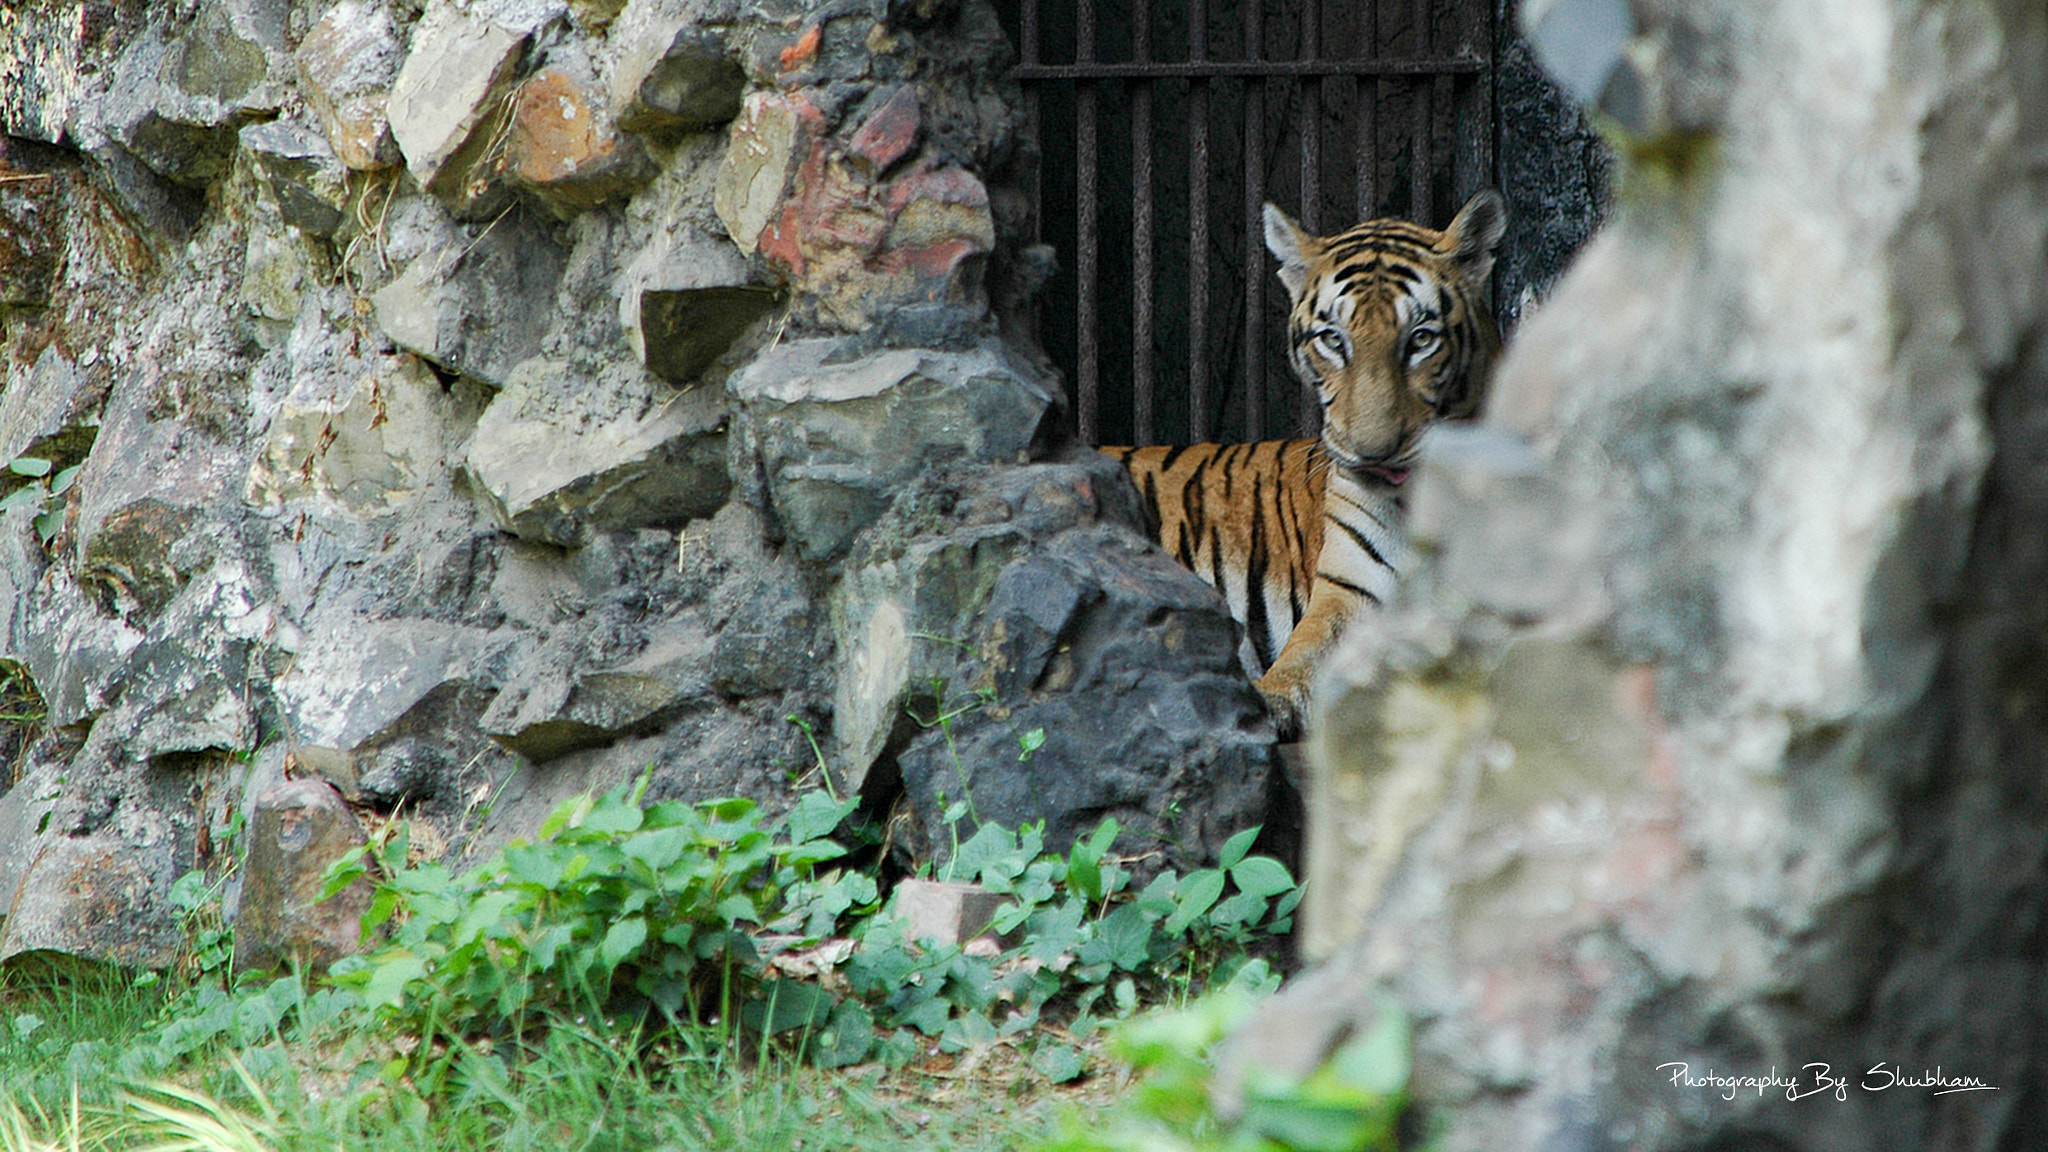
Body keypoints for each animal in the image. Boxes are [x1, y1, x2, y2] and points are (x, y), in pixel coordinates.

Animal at [1103, 190, 1506, 737]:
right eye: (1333, 340)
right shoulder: (1349, 594)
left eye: (1421, 339)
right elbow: (1305, 661)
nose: (1373, 452)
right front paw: (1264, 705)